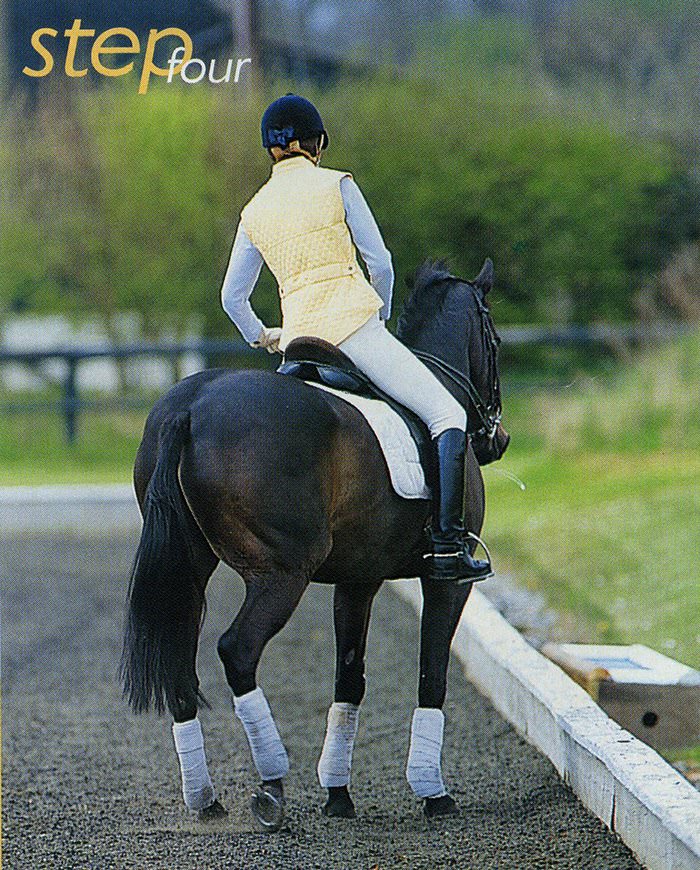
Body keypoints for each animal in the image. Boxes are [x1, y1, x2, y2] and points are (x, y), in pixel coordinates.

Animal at [120, 258, 510, 831]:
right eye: (495, 339)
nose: (497, 440)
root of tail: (190, 408)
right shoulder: (447, 582)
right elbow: (431, 675)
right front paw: (432, 792)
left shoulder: (357, 580)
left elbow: (349, 679)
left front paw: (338, 794)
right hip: (282, 575)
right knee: (237, 650)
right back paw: (271, 784)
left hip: (191, 569)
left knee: (181, 662)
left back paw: (205, 799)